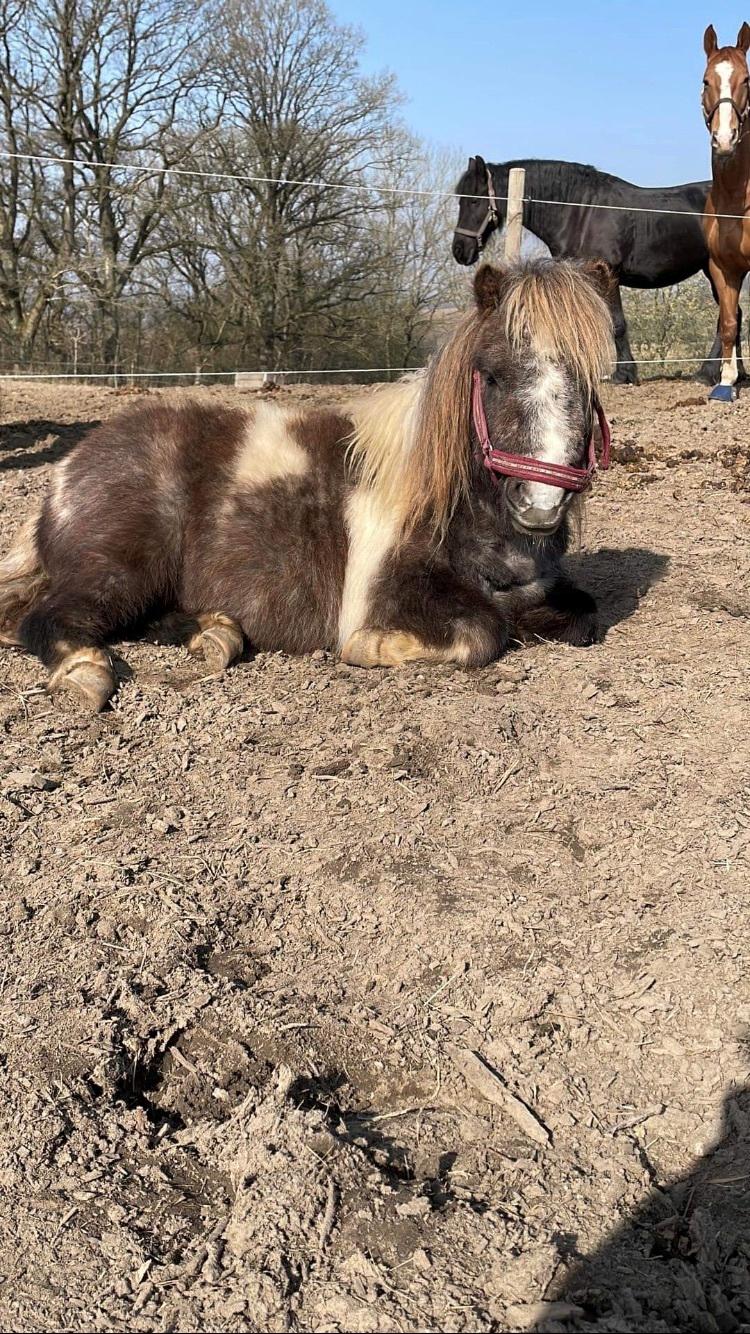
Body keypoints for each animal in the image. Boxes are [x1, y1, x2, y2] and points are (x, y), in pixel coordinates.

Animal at [0, 256, 613, 715]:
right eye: (492, 376)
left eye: (590, 381)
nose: (541, 506)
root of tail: (68, 470)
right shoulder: (392, 590)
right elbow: (484, 630)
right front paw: (372, 646)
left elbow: (583, 616)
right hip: (123, 567)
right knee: (44, 618)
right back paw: (85, 672)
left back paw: (216, 636)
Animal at [448, 158, 731, 386]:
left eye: (473, 200)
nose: (460, 250)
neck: (580, 212)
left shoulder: (608, 274)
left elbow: (617, 324)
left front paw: (624, 375)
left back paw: (706, 374)